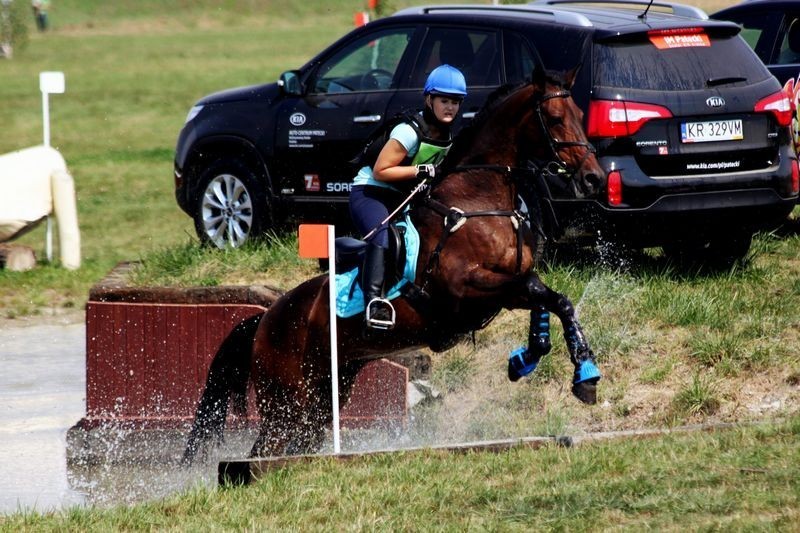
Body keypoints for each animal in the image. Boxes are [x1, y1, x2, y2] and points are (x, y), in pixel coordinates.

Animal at [183, 64, 608, 460]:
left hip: (323, 397)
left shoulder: (505, 287)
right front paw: (579, 373)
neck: (480, 197)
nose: (594, 179)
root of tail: (264, 319)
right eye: (554, 118)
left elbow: (549, 297)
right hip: (286, 400)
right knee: (263, 450)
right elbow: (544, 293)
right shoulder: (465, 289)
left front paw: (539, 361)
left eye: (579, 114)